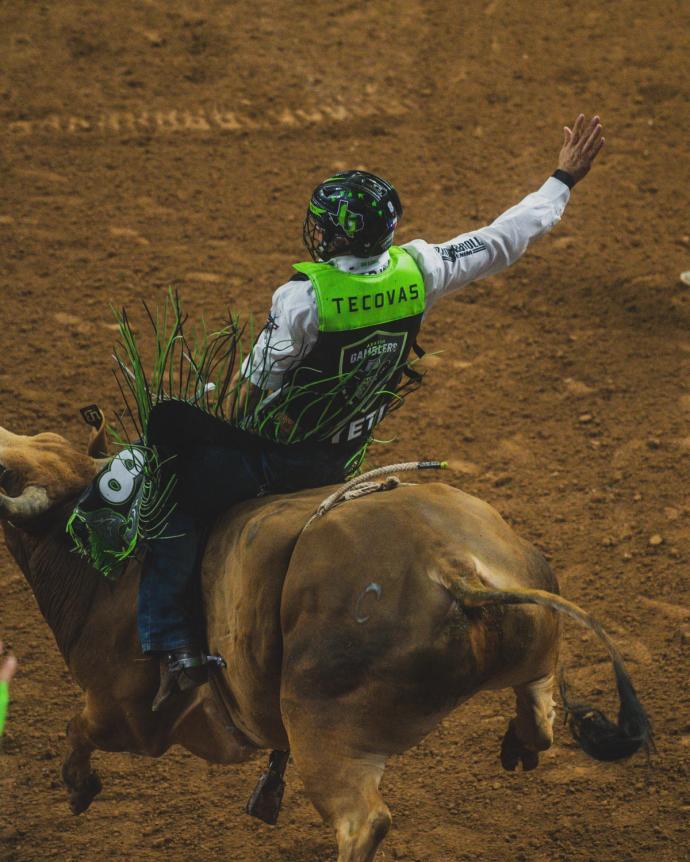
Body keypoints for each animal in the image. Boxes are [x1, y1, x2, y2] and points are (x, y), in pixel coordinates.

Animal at [0, 424, 648, 862]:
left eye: (8, 475)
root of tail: (454, 567)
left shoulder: (128, 714)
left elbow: (79, 729)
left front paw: (79, 789)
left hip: (324, 729)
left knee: (362, 822)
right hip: (528, 636)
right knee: (540, 710)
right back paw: (521, 743)